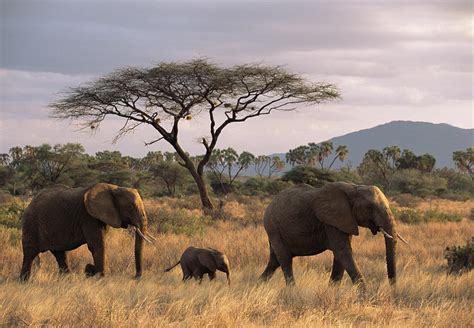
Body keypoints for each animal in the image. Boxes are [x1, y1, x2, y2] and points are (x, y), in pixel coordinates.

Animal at [19, 183, 156, 280]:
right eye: (130, 206)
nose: (135, 277)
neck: (113, 187)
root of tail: (29, 204)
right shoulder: (88, 216)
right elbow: (96, 245)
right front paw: (100, 277)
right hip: (31, 224)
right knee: (30, 253)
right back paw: (24, 282)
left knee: (60, 254)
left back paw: (66, 280)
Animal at [260, 183, 408, 288]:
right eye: (369, 208)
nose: (393, 291)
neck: (354, 188)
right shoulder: (331, 220)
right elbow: (343, 252)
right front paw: (365, 298)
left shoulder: (344, 221)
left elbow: (340, 256)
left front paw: (331, 292)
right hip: (273, 228)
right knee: (285, 260)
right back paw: (292, 291)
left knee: (274, 261)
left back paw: (259, 284)